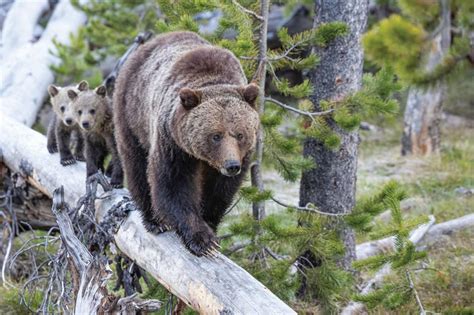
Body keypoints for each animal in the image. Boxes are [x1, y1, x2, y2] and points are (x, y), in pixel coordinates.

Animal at [114, 31, 262, 256]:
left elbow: (220, 191)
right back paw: (154, 220)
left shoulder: (238, 158)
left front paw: (210, 225)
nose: (231, 165)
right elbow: (173, 185)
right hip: (132, 114)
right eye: (216, 135)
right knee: (136, 165)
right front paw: (202, 239)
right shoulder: (173, 144)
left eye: (240, 134)